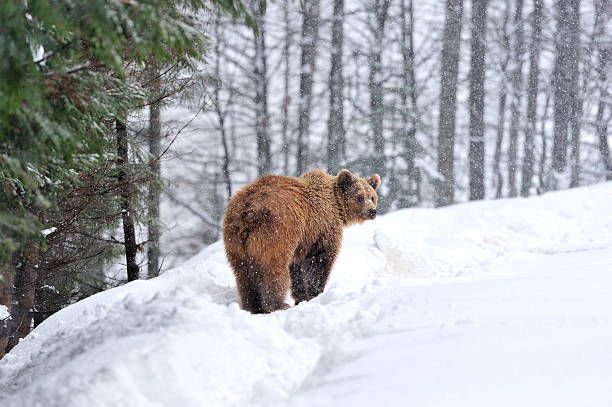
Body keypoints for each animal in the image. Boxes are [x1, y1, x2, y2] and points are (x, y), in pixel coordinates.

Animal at [222, 171, 380, 314]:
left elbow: (297, 269)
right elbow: (319, 261)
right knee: (274, 270)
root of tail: (247, 211)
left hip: (235, 242)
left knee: (243, 274)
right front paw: (316, 293)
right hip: (274, 233)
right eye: (360, 196)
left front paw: (301, 297)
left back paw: (252, 306)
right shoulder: (322, 229)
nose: (372, 211)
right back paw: (278, 305)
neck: (337, 205)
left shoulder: (302, 242)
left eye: (372, 196)